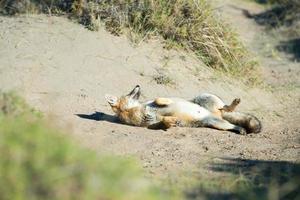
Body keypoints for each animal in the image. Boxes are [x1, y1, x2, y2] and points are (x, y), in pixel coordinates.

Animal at [104, 85, 262, 135]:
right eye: (129, 92)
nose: (138, 84)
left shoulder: (152, 101)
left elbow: (158, 99)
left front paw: (164, 101)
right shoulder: (152, 125)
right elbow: (164, 122)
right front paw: (172, 121)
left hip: (204, 98)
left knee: (226, 107)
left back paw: (234, 103)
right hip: (218, 124)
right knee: (233, 124)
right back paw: (241, 129)